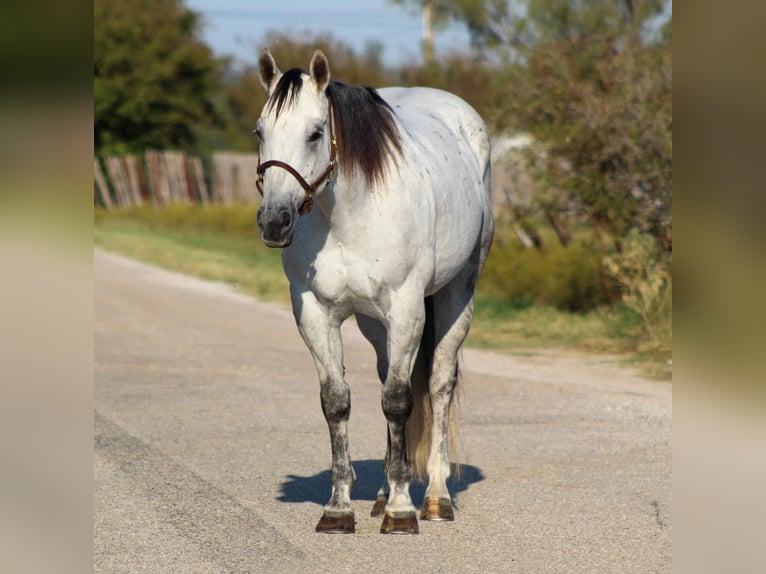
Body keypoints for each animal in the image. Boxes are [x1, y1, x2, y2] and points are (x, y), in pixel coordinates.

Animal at [255, 49, 494, 535]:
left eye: (315, 132)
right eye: (259, 132)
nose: (274, 222)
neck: (348, 216)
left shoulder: (406, 310)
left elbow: (400, 402)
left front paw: (402, 511)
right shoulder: (315, 313)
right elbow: (337, 402)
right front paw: (338, 508)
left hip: (457, 295)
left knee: (438, 384)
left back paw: (435, 497)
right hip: (373, 323)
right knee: (389, 378)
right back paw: (382, 494)